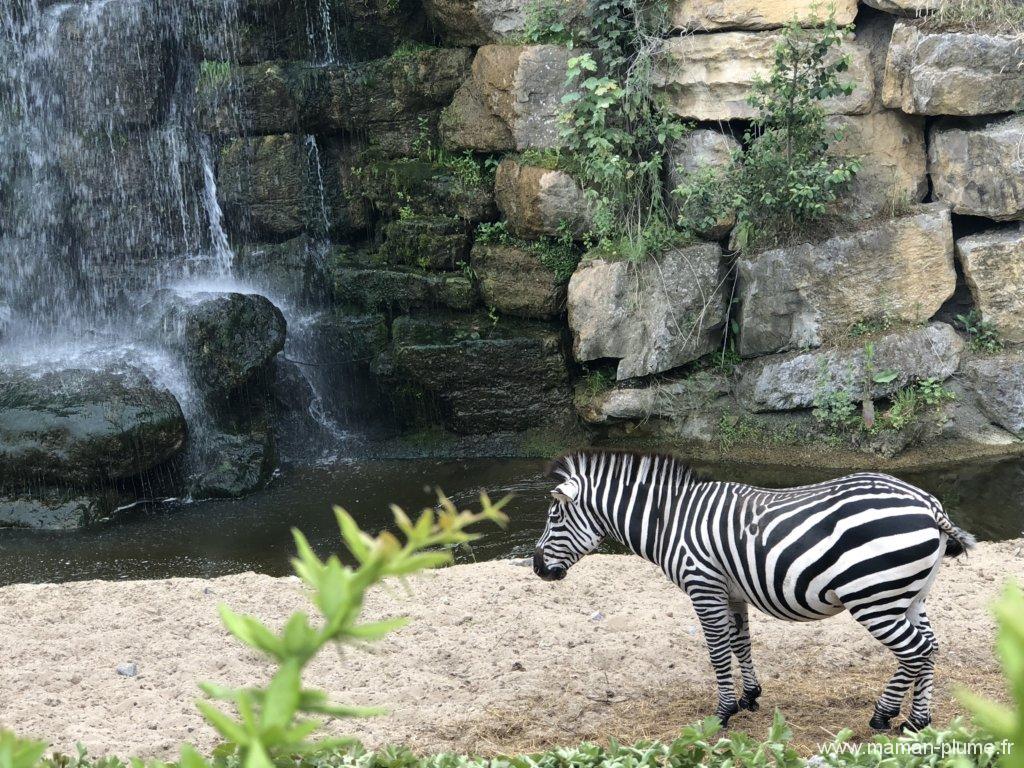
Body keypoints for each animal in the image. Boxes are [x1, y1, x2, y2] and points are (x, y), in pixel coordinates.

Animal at [536, 450, 974, 733]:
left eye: (554, 517)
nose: (538, 568)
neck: (670, 521)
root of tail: (929, 503)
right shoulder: (732, 592)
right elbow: (740, 643)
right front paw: (750, 697)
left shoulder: (703, 585)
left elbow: (716, 650)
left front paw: (722, 713)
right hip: (910, 596)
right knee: (930, 647)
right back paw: (917, 721)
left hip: (873, 598)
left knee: (915, 650)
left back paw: (883, 716)